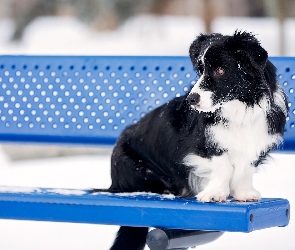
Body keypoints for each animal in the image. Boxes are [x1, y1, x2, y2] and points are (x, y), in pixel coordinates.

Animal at [107, 31, 290, 250]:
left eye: (220, 70)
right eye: (201, 70)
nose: (191, 100)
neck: (239, 108)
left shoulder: (257, 145)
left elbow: (245, 169)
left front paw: (244, 193)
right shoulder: (201, 146)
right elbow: (224, 166)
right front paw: (215, 193)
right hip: (131, 163)